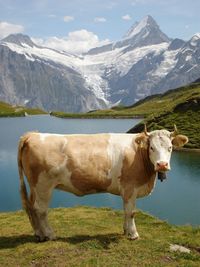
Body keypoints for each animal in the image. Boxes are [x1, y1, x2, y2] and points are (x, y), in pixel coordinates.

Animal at [17, 126, 188, 242]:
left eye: (170, 148)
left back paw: (39, 234)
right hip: (43, 185)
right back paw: (50, 234)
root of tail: (32, 135)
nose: (162, 165)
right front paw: (133, 234)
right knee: (41, 210)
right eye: (152, 147)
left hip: (34, 187)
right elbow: (131, 212)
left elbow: (125, 211)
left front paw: (125, 231)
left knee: (31, 207)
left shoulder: (126, 191)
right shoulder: (130, 188)